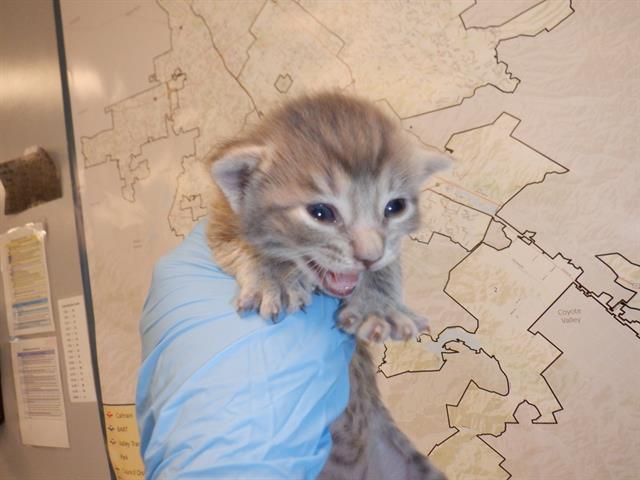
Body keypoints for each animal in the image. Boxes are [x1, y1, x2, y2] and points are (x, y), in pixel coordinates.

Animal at [208, 92, 448, 478]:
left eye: (395, 207)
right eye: (321, 213)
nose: (368, 256)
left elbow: (388, 266)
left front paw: (379, 304)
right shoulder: (218, 222)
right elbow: (245, 245)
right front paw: (274, 276)